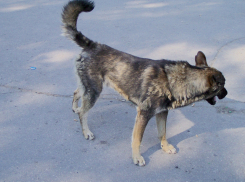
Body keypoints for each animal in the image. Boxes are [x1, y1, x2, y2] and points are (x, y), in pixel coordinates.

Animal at [61, 0, 228, 166]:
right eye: (223, 85)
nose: (226, 93)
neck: (175, 80)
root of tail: (92, 44)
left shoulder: (162, 113)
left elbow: (163, 133)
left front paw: (165, 147)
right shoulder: (143, 114)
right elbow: (137, 139)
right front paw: (136, 157)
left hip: (89, 87)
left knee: (77, 93)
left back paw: (75, 108)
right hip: (94, 91)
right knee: (83, 112)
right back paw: (86, 131)